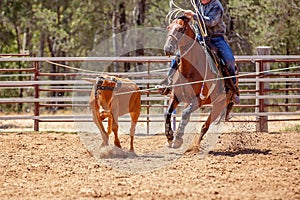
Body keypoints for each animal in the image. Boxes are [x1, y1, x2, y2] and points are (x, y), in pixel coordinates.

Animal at [162, 16, 234, 149]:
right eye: (168, 27)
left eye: (181, 29)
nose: (167, 48)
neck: (188, 70)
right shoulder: (175, 95)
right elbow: (168, 113)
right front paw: (169, 136)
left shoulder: (199, 100)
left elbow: (185, 114)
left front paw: (178, 138)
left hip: (219, 105)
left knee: (204, 126)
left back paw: (194, 147)